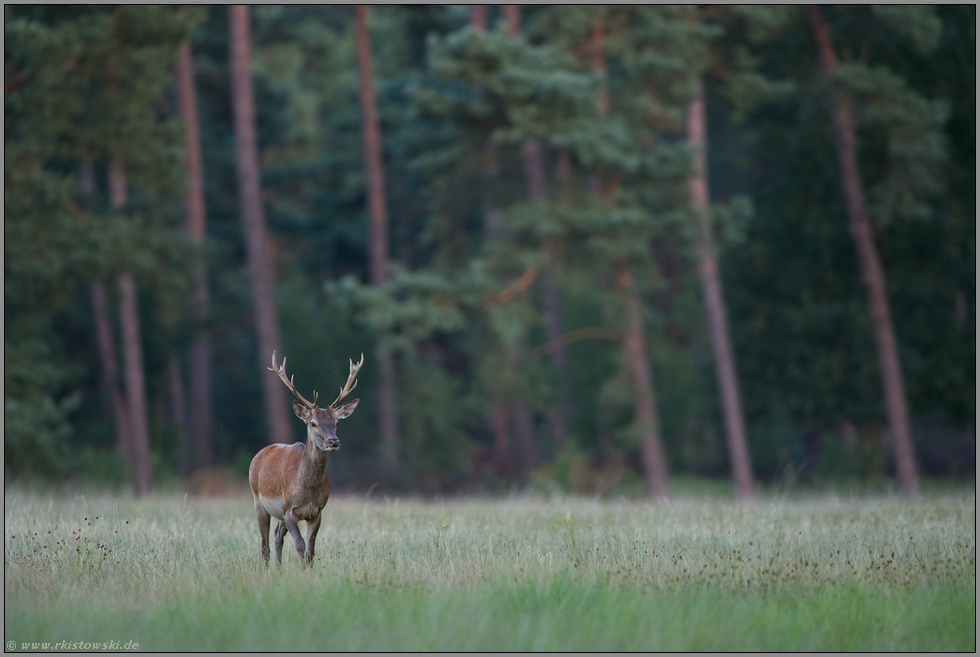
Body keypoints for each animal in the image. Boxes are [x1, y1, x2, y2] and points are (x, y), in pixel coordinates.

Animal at [249, 352, 364, 568]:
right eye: (313, 423)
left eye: (336, 422)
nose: (333, 441)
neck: (307, 489)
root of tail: (260, 453)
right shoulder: (289, 509)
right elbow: (300, 545)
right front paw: (302, 571)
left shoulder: (317, 511)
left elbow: (311, 549)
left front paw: (308, 570)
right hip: (259, 502)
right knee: (264, 543)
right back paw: (267, 570)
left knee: (277, 536)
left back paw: (279, 569)